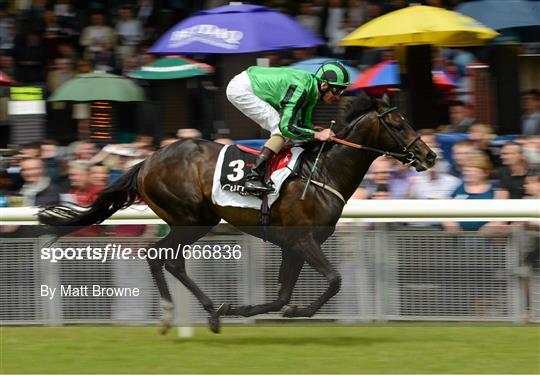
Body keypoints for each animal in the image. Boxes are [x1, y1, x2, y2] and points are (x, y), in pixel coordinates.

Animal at [38, 95, 436, 334]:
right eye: (398, 124)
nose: (429, 155)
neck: (323, 173)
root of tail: (147, 161)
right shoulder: (303, 239)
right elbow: (335, 280)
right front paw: (294, 312)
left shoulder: (291, 245)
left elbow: (281, 296)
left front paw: (244, 309)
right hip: (190, 217)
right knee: (159, 255)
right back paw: (174, 315)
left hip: (197, 220)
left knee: (169, 259)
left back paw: (211, 312)